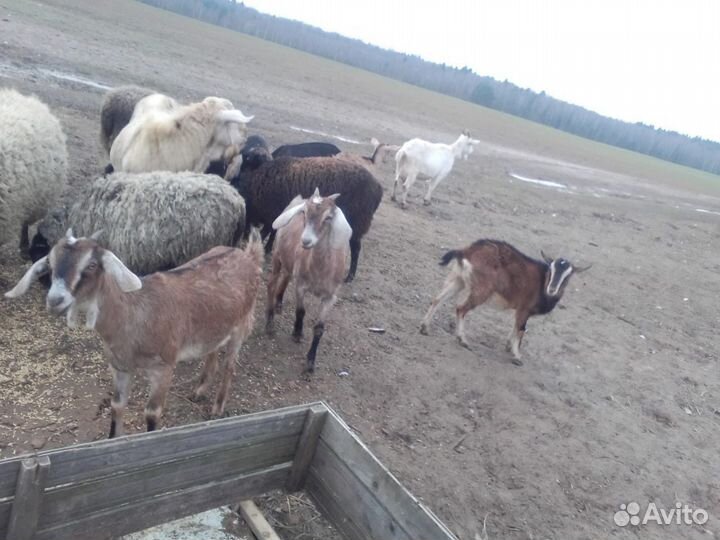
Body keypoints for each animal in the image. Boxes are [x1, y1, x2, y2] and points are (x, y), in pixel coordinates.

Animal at [6, 228, 264, 437]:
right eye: (50, 264)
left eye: (91, 265)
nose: (55, 300)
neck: (134, 315)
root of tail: (247, 255)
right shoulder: (120, 367)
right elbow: (117, 406)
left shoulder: (163, 367)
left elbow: (152, 413)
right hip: (216, 324)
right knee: (213, 350)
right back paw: (199, 391)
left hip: (242, 324)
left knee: (230, 365)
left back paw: (217, 407)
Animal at [227, 156, 382, 282]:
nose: (242, 236)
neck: (256, 190)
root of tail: (378, 188)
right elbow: (273, 232)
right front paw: (269, 248)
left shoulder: (273, 213)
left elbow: (267, 231)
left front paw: (265, 249)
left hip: (357, 224)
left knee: (356, 249)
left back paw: (349, 276)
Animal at [265, 189, 352, 373]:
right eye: (304, 212)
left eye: (328, 217)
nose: (305, 241)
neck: (320, 270)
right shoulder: (301, 286)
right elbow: (301, 311)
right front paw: (297, 333)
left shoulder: (330, 297)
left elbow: (319, 329)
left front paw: (310, 362)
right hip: (277, 254)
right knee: (272, 283)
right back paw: (269, 321)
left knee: (285, 278)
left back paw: (279, 302)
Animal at [420, 239, 590, 365]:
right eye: (551, 270)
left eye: (568, 276)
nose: (552, 289)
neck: (542, 284)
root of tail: (467, 251)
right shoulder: (524, 308)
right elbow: (521, 329)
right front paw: (517, 356)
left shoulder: (521, 310)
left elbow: (516, 327)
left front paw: (509, 346)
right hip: (481, 290)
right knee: (461, 308)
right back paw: (462, 340)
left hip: (458, 279)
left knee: (437, 299)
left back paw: (424, 328)